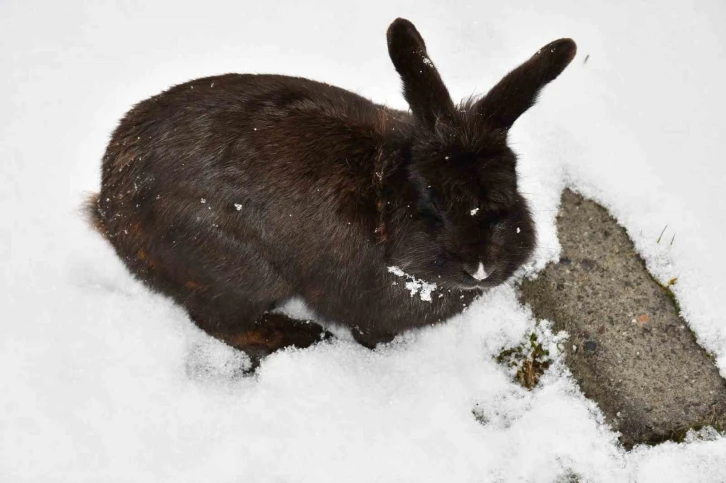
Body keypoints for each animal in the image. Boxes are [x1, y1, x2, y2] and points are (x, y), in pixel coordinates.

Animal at [85, 18, 576, 366]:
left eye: (508, 195)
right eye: (432, 203)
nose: (478, 269)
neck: (383, 197)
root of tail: (110, 207)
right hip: (241, 273)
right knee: (221, 323)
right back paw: (302, 337)